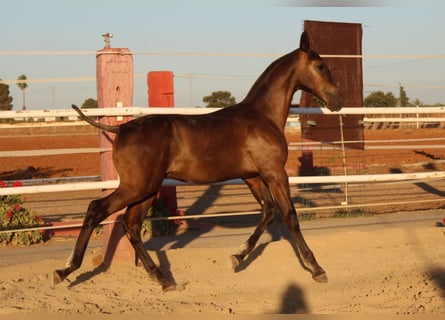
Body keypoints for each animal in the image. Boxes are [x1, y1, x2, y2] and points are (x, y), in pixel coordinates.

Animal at [53, 31, 342, 290]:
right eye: (320, 66)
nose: (337, 99)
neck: (263, 116)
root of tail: (121, 129)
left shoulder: (253, 176)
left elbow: (268, 212)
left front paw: (236, 258)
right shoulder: (274, 172)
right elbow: (289, 215)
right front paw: (316, 269)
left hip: (146, 190)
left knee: (130, 225)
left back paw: (164, 280)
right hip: (137, 187)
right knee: (96, 209)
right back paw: (64, 270)